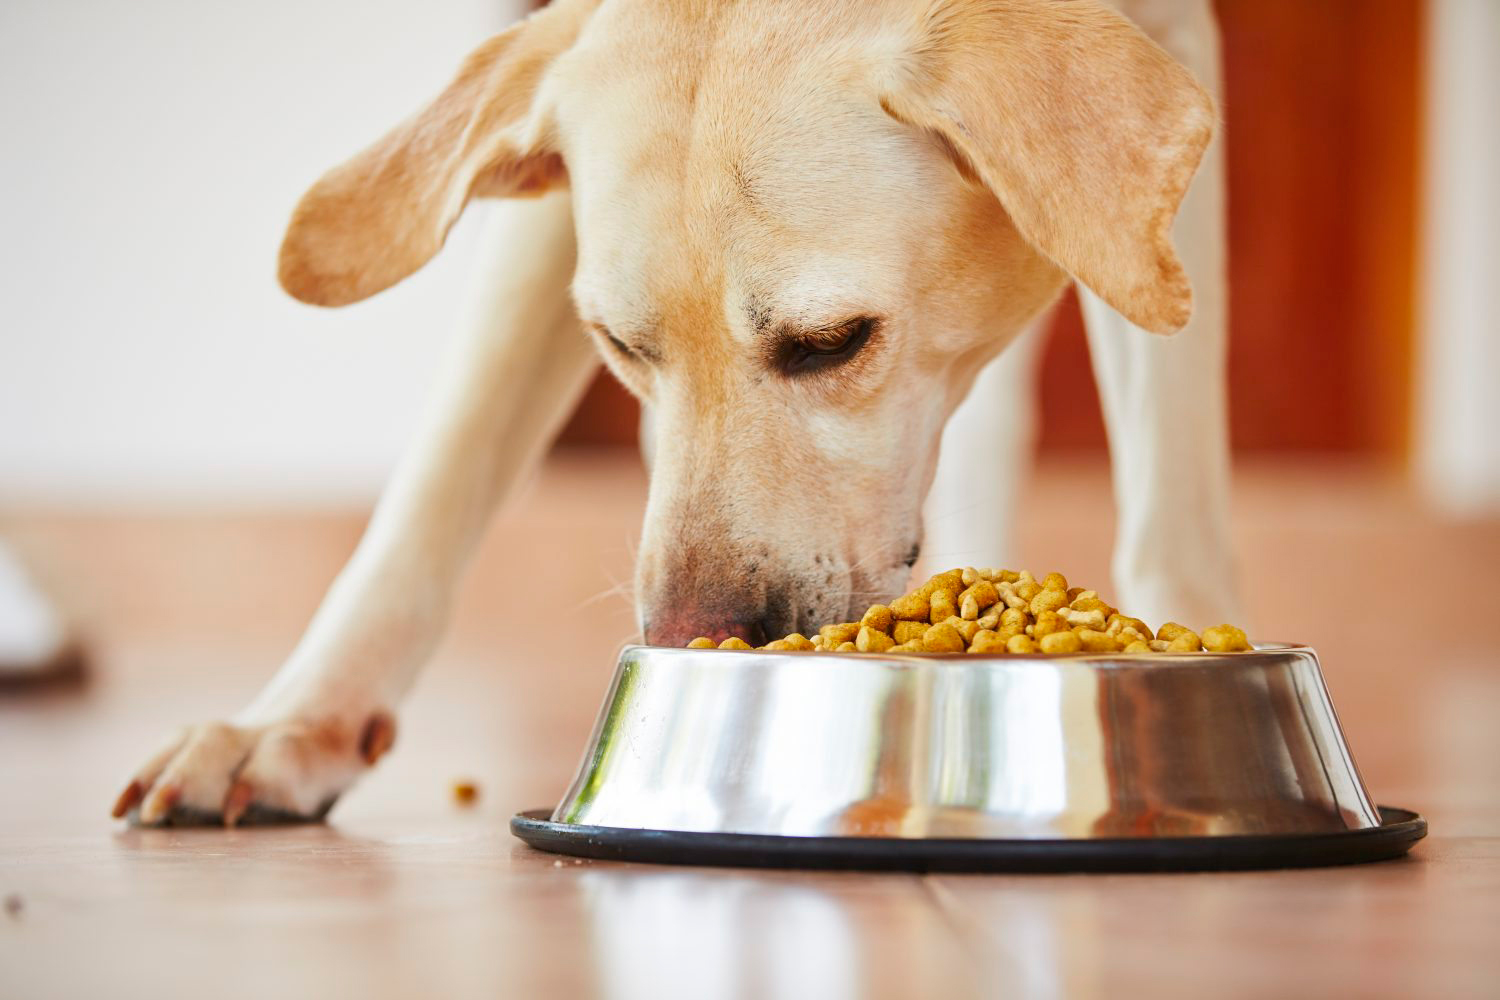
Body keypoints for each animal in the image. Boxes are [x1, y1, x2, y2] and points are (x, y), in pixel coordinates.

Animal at [112, 0, 1237, 826]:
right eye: (619, 345)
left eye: (832, 341)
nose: (689, 637)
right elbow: (440, 478)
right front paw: (296, 721)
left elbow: (1172, 486)